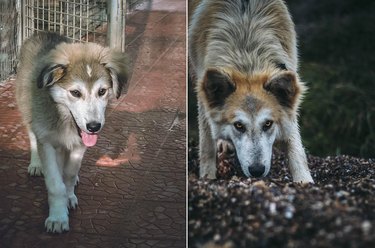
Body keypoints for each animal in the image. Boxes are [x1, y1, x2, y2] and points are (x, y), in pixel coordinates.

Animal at [16, 32, 129, 232]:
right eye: (75, 93)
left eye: (102, 91)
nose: (94, 127)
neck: (65, 119)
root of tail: (44, 32)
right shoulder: (47, 140)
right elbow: (55, 184)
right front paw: (58, 217)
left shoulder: (79, 144)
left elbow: (68, 173)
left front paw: (69, 196)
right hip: (27, 109)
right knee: (32, 136)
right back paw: (36, 164)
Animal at [189, 0, 316, 182]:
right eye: (239, 125)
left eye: (268, 124)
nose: (257, 170)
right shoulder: (203, 91)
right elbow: (207, 145)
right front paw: (207, 178)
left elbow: (295, 147)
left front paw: (304, 181)